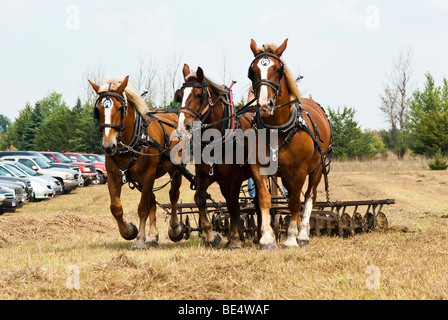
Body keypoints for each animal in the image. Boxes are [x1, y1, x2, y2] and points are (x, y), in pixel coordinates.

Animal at [89, 75, 184, 250]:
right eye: (97, 110)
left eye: (120, 108)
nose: (108, 146)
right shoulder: (114, 177)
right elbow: (116, 208)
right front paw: (128, 231)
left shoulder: (148, 175)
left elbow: (142, 208)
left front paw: (139, 240)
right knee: (152, 199)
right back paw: (153, 236)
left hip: (175, 169)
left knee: (173, 195)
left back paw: (175, 229)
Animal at [174, 63, 252, 249]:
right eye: (179, 95)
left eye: (198, 95)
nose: (182, 127)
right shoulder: (205, 176)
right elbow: (200, 198)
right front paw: (211, 236)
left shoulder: (234, 179)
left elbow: (233, 205)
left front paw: (234, 239)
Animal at [248, 38, 332, 250]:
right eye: (252, 71)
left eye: (278, 70)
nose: (264, 104)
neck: (277, 128)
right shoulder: (258, 167)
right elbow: (264, 199)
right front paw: (267, 238)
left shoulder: (299, 170)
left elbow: (295, 201)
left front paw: (292, 237)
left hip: (317, 168)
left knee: (309, 197)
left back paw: (303, 234)